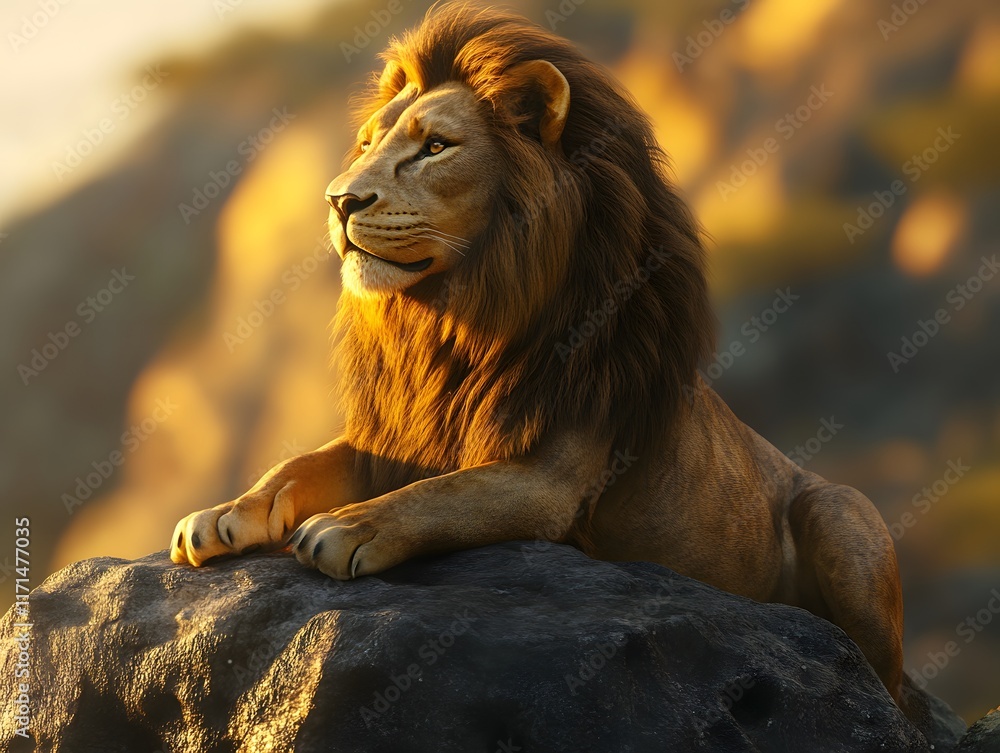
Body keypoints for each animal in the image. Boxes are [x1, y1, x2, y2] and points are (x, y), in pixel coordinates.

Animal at [172, 3, 926, 729]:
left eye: (435, 147)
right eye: (366, 144)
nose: (339, 199)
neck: (454, 326)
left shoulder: (552, 477)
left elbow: (444, 494)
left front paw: (347, 527)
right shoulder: (396, 439)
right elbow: (296, 465)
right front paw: (223, 514)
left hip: (840, 512)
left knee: (885, 683)